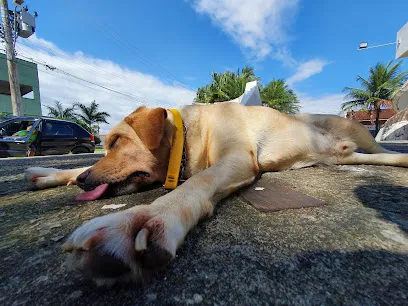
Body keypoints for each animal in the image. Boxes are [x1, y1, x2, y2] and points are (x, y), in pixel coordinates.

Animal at [24, 102, 404, 284]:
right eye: (106, 144)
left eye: (116, 141)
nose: (85, 181)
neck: (190, 137)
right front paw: (55, 173)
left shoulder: (237, 158)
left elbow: (198, 183)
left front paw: (146, 216)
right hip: (350, 156)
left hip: (365, 138)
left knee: (385, 149)